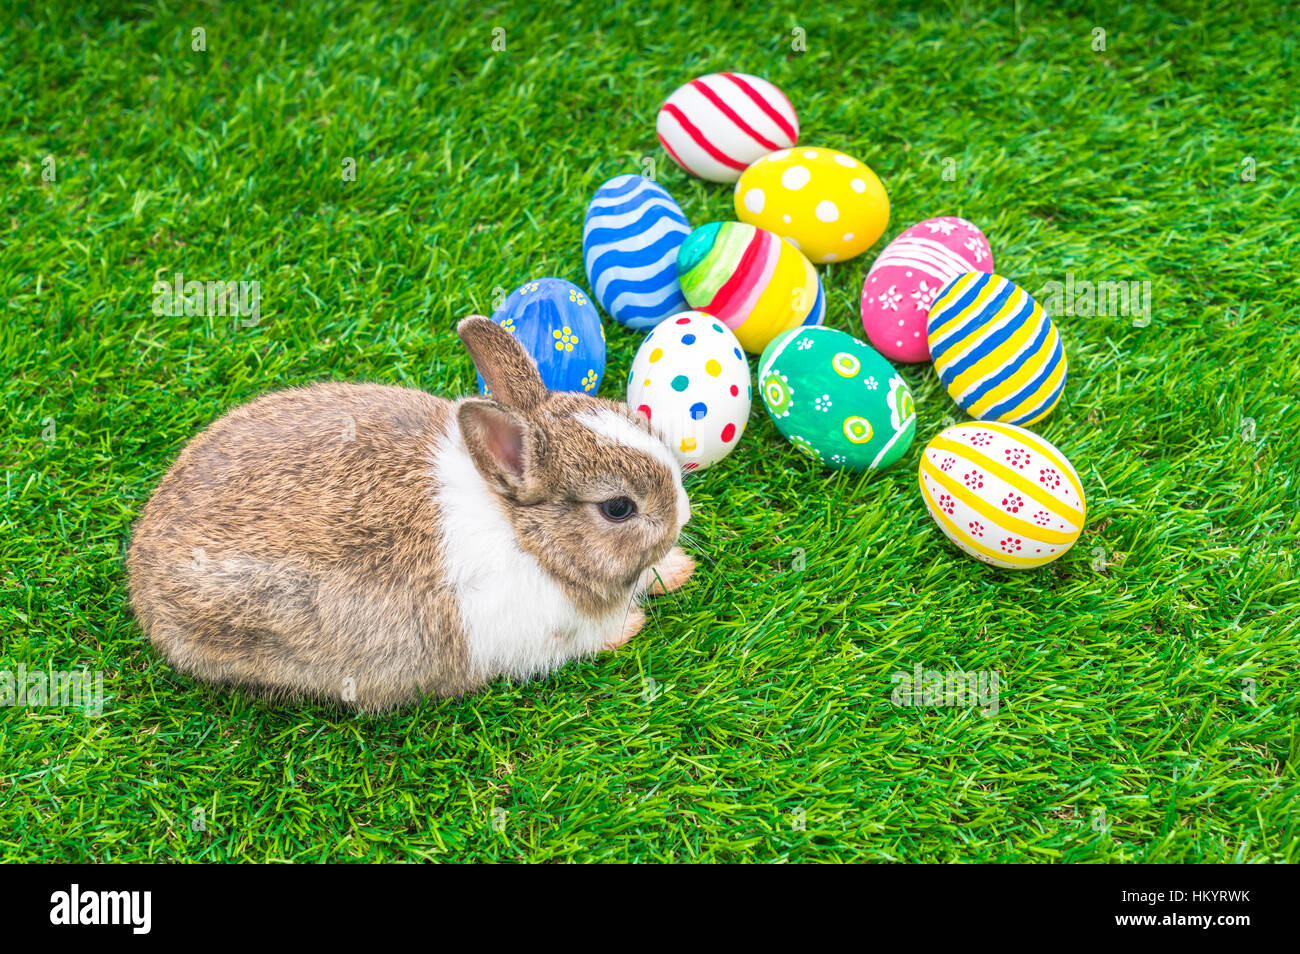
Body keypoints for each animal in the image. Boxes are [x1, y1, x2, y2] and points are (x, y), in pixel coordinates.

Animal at [126, 315, 695, 711]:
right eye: (618, 508)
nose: (683, 514)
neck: (529, 537)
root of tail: (139, 579)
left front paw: (677, 569)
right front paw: (634, 622)